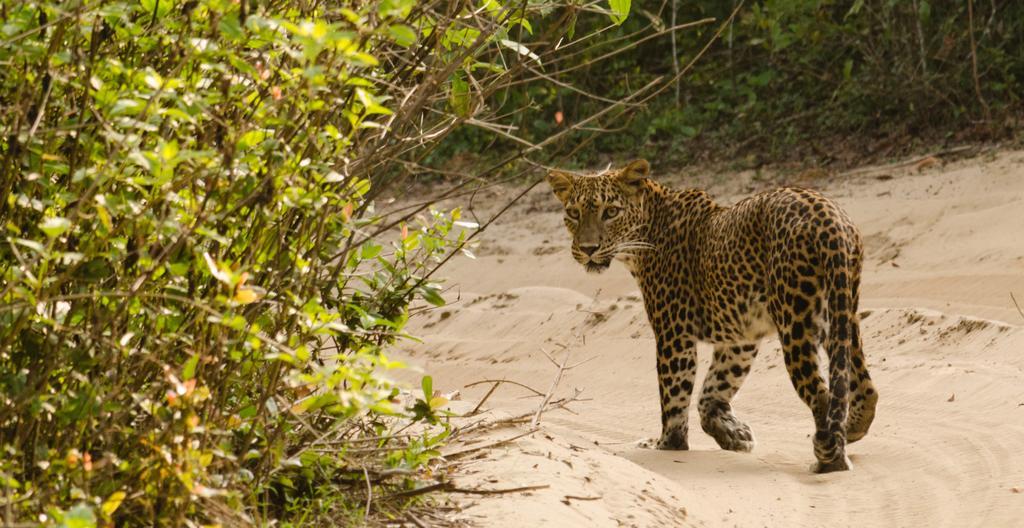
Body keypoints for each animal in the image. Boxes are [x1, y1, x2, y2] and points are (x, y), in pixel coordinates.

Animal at [548, 158, 876, 472]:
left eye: (611, 212)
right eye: (574, 213)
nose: (588, 249)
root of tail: (827, 217)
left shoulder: (674, 335)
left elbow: (674, 397)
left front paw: (668, 444)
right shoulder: (741, 337)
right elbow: (713, 388)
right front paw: (734, 434)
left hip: (796, 320)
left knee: (822, 397)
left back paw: (829, 461)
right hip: (842, 311)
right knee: (865, 389)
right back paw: (850, 431)